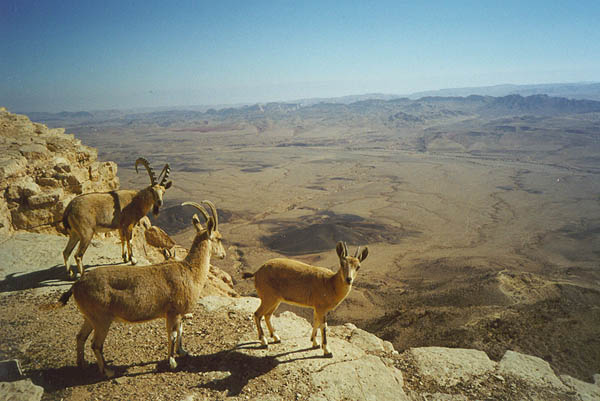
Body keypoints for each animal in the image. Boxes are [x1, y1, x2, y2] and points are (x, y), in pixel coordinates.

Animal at [43, 200, 225, 377]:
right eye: (219, 238)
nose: (223, 255)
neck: (190, 271)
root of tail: (77, 285)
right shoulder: (173, 312)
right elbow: (172, 335)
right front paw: (172, 362)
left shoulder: (178, 314)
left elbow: (180, 331)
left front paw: (183, 352)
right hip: (102, 319)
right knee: (95, 344)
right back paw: (107, 371)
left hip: (89, 317)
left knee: (80, 337)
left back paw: (82, 365)